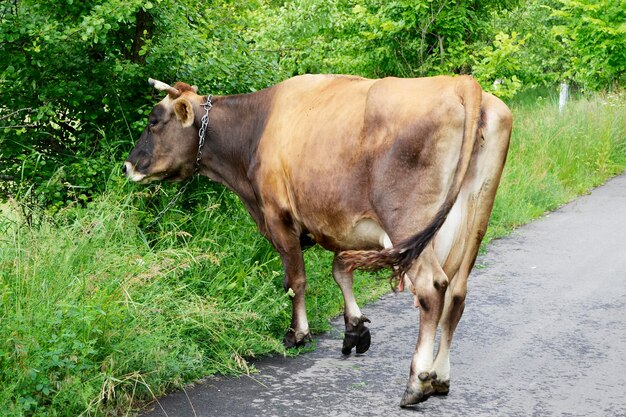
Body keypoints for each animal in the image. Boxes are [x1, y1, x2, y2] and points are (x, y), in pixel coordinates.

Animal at [123, 73, 512, 404]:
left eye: (153, 121)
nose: (128, 166)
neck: (256, 129)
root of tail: (461, 83)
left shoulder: (278, 216)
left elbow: (295, 280)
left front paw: (298, 334)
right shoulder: (345, 227)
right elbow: (340, 270)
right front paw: (354, 329)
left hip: (408, 220)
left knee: (433, 289)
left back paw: (417, 382)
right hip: (475, 221)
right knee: (457, 294)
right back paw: (441, 378)